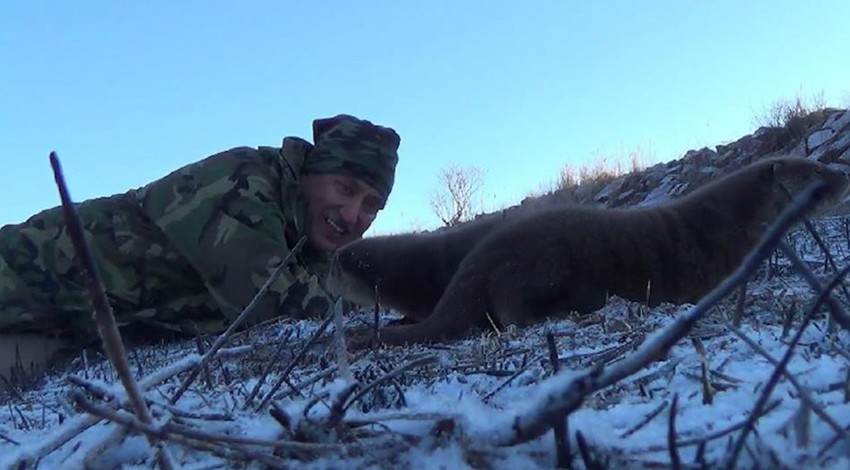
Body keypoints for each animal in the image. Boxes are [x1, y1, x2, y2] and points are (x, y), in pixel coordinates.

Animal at [342, 158, 844, 346]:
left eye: (822, 163)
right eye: (816, 176)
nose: (843, 176)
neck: (726, 222)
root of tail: (478, 261)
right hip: (544, 263)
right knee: (510, 308)